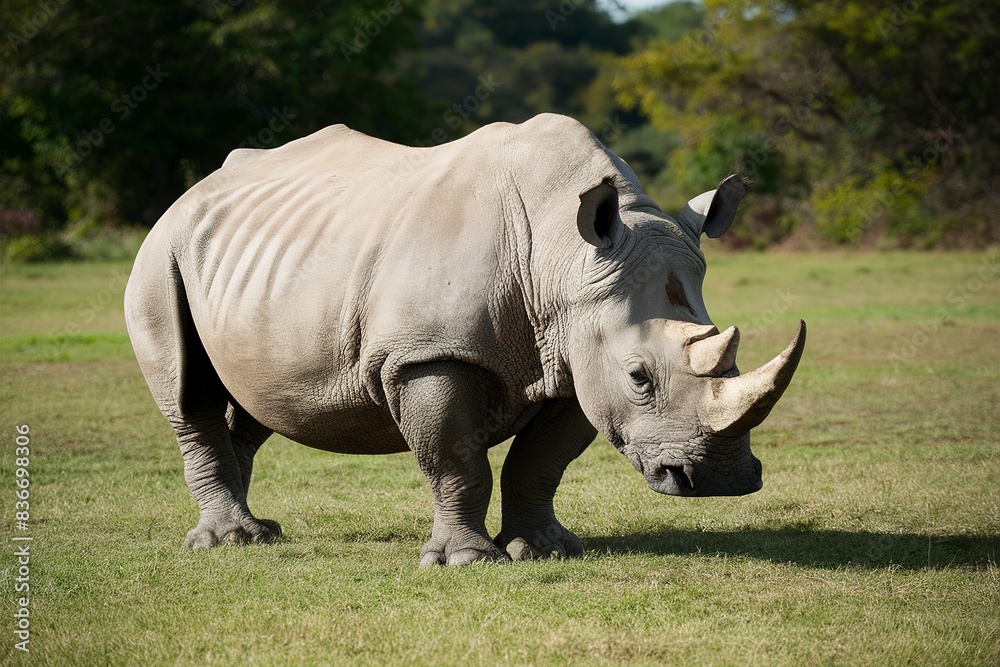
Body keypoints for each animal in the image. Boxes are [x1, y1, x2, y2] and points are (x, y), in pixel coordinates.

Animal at [125, 113, 805, 566]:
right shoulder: (430, 355)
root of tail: (194, 191)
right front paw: (467, 561)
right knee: (189, 396)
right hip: (160, 253)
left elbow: (540, 463)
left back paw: (258, 533)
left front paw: (548, 550)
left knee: (257, 400)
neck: (563, 260)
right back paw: (229, 543)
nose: (720, 479)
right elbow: (456, 460)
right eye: (640, 377)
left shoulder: (575, 356)